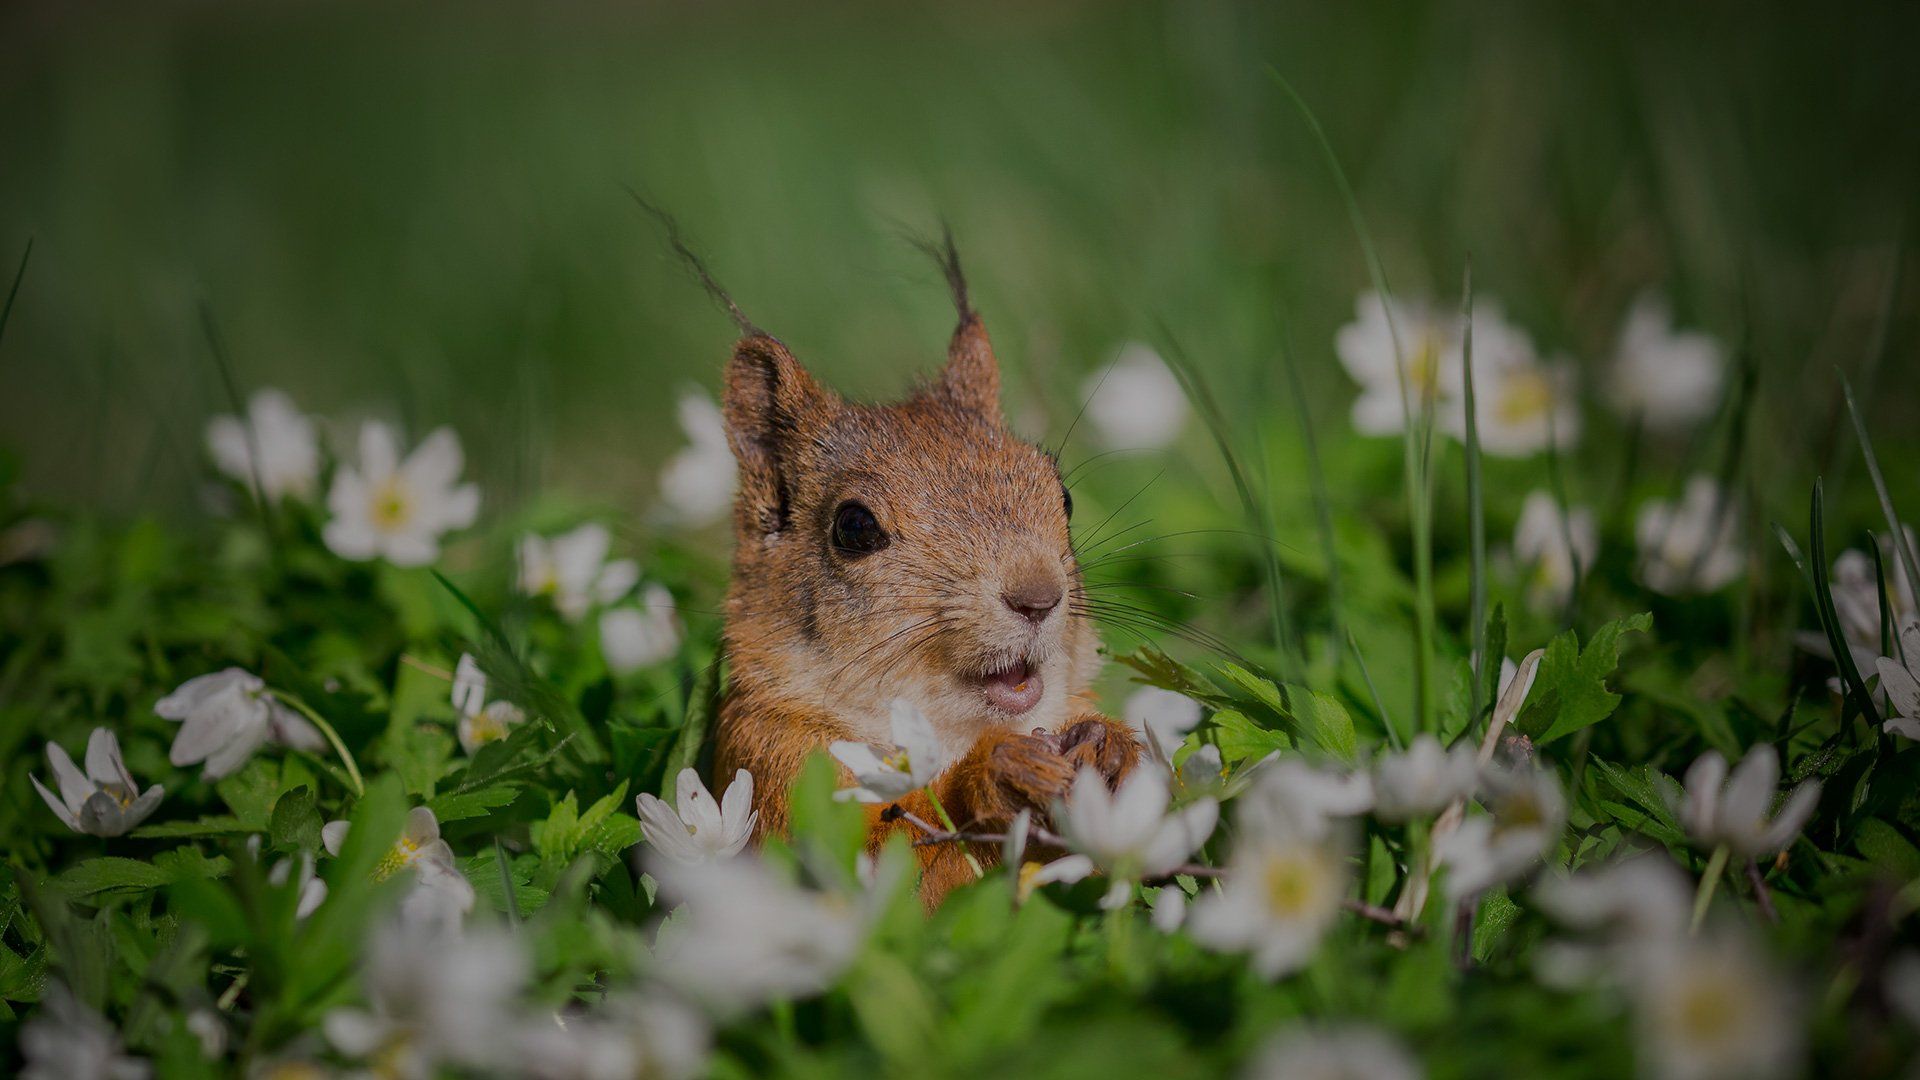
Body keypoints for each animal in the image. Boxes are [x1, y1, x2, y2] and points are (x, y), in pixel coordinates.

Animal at [706, 237, 1141, 902]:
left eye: (1062, 496)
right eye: (854, 527)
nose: (1038, 596)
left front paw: (1110, 747)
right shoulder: (774, 764)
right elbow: (890, 867)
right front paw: (1000, 774)